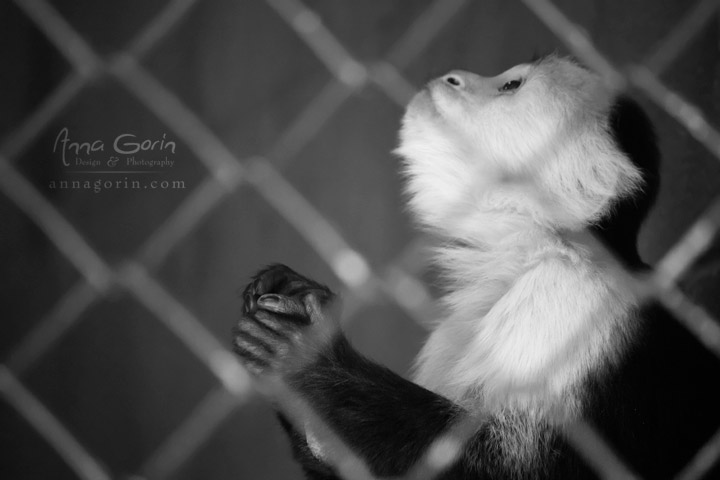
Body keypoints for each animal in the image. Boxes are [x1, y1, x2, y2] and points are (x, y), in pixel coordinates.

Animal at [235, 55, 720, 476]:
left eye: (511, 85)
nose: (453, 77)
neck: (527, 251)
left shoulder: (571, 298)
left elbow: (517, 467)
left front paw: (311, 355)